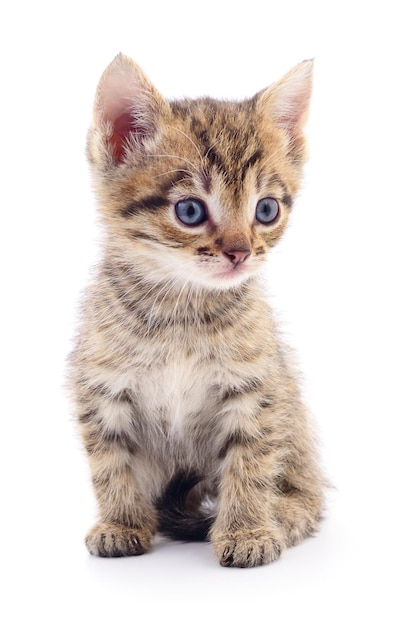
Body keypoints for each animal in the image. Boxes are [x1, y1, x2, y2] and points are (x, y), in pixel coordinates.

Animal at [68, 54, 326, 564]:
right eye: (189, 211)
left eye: (266, 210)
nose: (240, 252)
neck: (182, 308)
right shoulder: (102, 388)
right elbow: (110, 462)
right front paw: (120, 522)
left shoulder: (256, 387)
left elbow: (251, 460)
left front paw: (247, 531)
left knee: (310, 496)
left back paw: (282, 514)